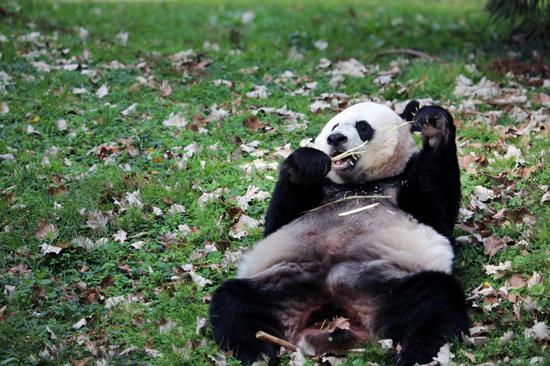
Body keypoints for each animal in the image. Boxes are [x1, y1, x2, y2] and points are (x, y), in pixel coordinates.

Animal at [211, 101, 470, 366]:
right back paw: (258, 351)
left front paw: (433, 124)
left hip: (386, 284)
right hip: (282, 284)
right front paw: (306, 164)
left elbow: (436, 211)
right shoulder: (322, 188)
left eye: (363, 126)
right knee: (235, 302)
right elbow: (278, 220)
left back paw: (416, 354)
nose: (336, 139)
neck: (358, 185)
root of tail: (336, 307)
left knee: (434, 300)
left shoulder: (404, 182)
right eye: (334, 127)